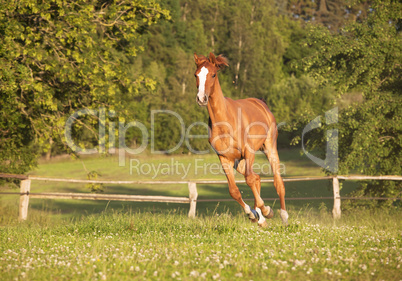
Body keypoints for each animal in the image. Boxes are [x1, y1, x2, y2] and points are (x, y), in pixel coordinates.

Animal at [193, 52, 288, 226]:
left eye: (213, 74)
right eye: (196, 75)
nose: (201, 98)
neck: (224, 122)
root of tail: (261, 103)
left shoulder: (248, 151)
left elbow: (249, 180)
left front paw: (265, 210)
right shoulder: (224, 158)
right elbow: (234, 190)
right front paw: (253, 214)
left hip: (269, 147)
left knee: (277, 181)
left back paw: (283, 215)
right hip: (239, 162)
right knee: (257, 177)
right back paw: (261, 217)